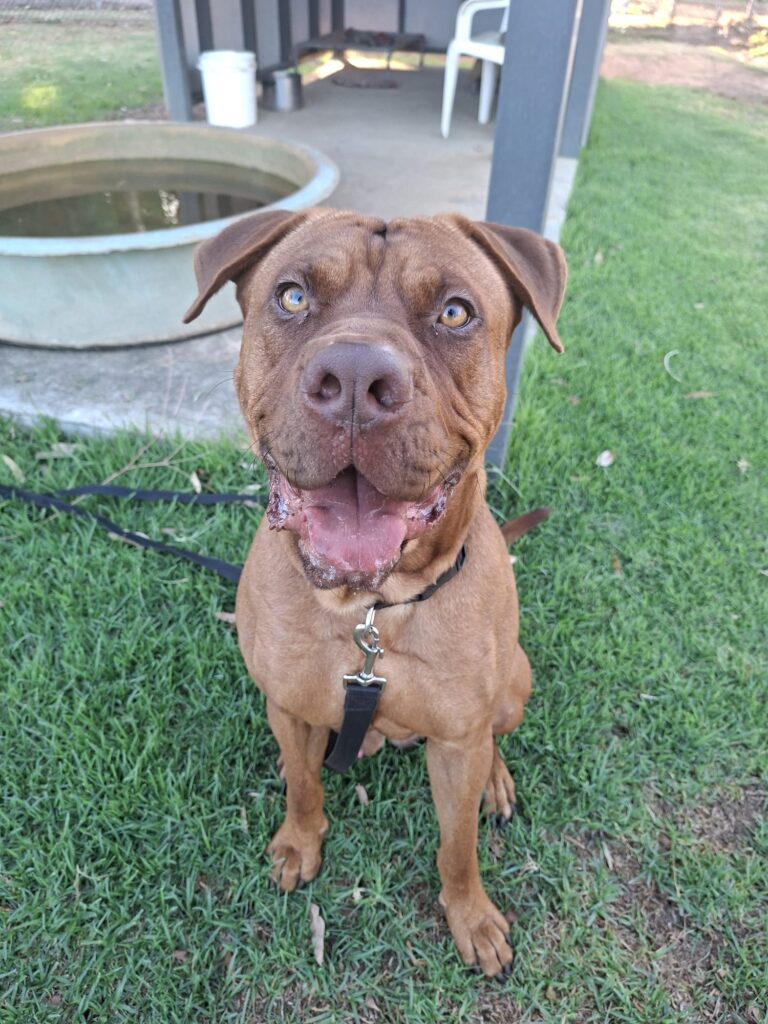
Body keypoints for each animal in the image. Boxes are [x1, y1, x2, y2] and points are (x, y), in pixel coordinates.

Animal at [183, 208, 566, 978]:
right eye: (292, 296)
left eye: (455, 311)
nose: (356, 378)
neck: (369, 611)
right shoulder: (288, 703)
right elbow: (305, 787)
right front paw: (299, 843)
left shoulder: (456, 740)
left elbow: (458, 846)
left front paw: (471, 916)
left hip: (515, 683)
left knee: (495, 737)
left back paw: (495, 781)